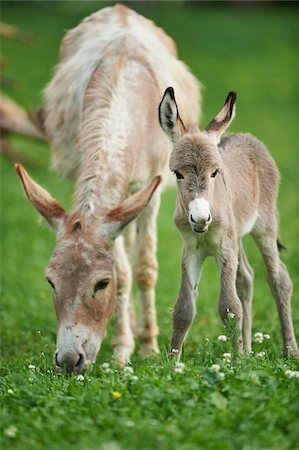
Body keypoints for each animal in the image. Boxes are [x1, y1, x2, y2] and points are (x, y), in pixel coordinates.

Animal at [161, 89, 298, 358]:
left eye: (215, 172)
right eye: (178, 174)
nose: (200, 218)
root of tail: (245, 136)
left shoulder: (224, 245)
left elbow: (229, 307)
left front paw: (235, 363)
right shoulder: (191, 249)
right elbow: (183, 310)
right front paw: (173, 364)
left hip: (264, 226)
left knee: (279, 279)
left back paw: (290, 351)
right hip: (238, 236)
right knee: (245, 277)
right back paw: (247, 350)